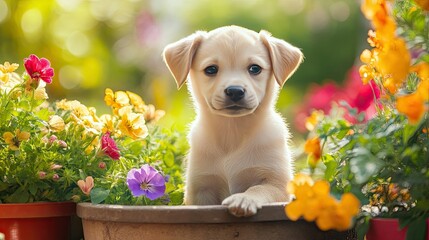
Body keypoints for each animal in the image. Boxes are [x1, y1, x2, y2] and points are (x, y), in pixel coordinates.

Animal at [162, 25, 302, 217]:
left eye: (255, 68)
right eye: (211, 69)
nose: (235, 91)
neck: (232, 132)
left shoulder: (277, 183)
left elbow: (257, 188)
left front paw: (243, 199)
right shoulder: (200, 190)